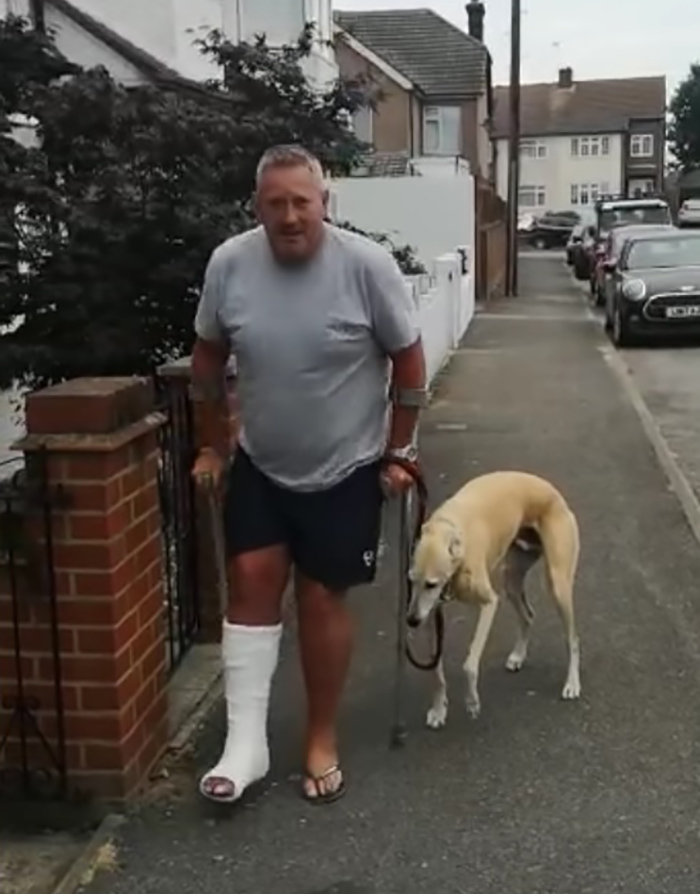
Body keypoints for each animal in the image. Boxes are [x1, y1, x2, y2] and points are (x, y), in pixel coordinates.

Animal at [404, 468, 580, 728]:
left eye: (431, 584)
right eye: (411, 580)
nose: (412, 621)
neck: (450, 530)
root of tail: (555, 493)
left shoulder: (489, 603)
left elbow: (469, 664)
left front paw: (472, 702)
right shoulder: (432, 616)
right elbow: (436, 672)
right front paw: (438, 709)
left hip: (558, 583)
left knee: (572, 639)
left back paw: (572, 683)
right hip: (512, 579)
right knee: (528, 615)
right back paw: (518, 656)